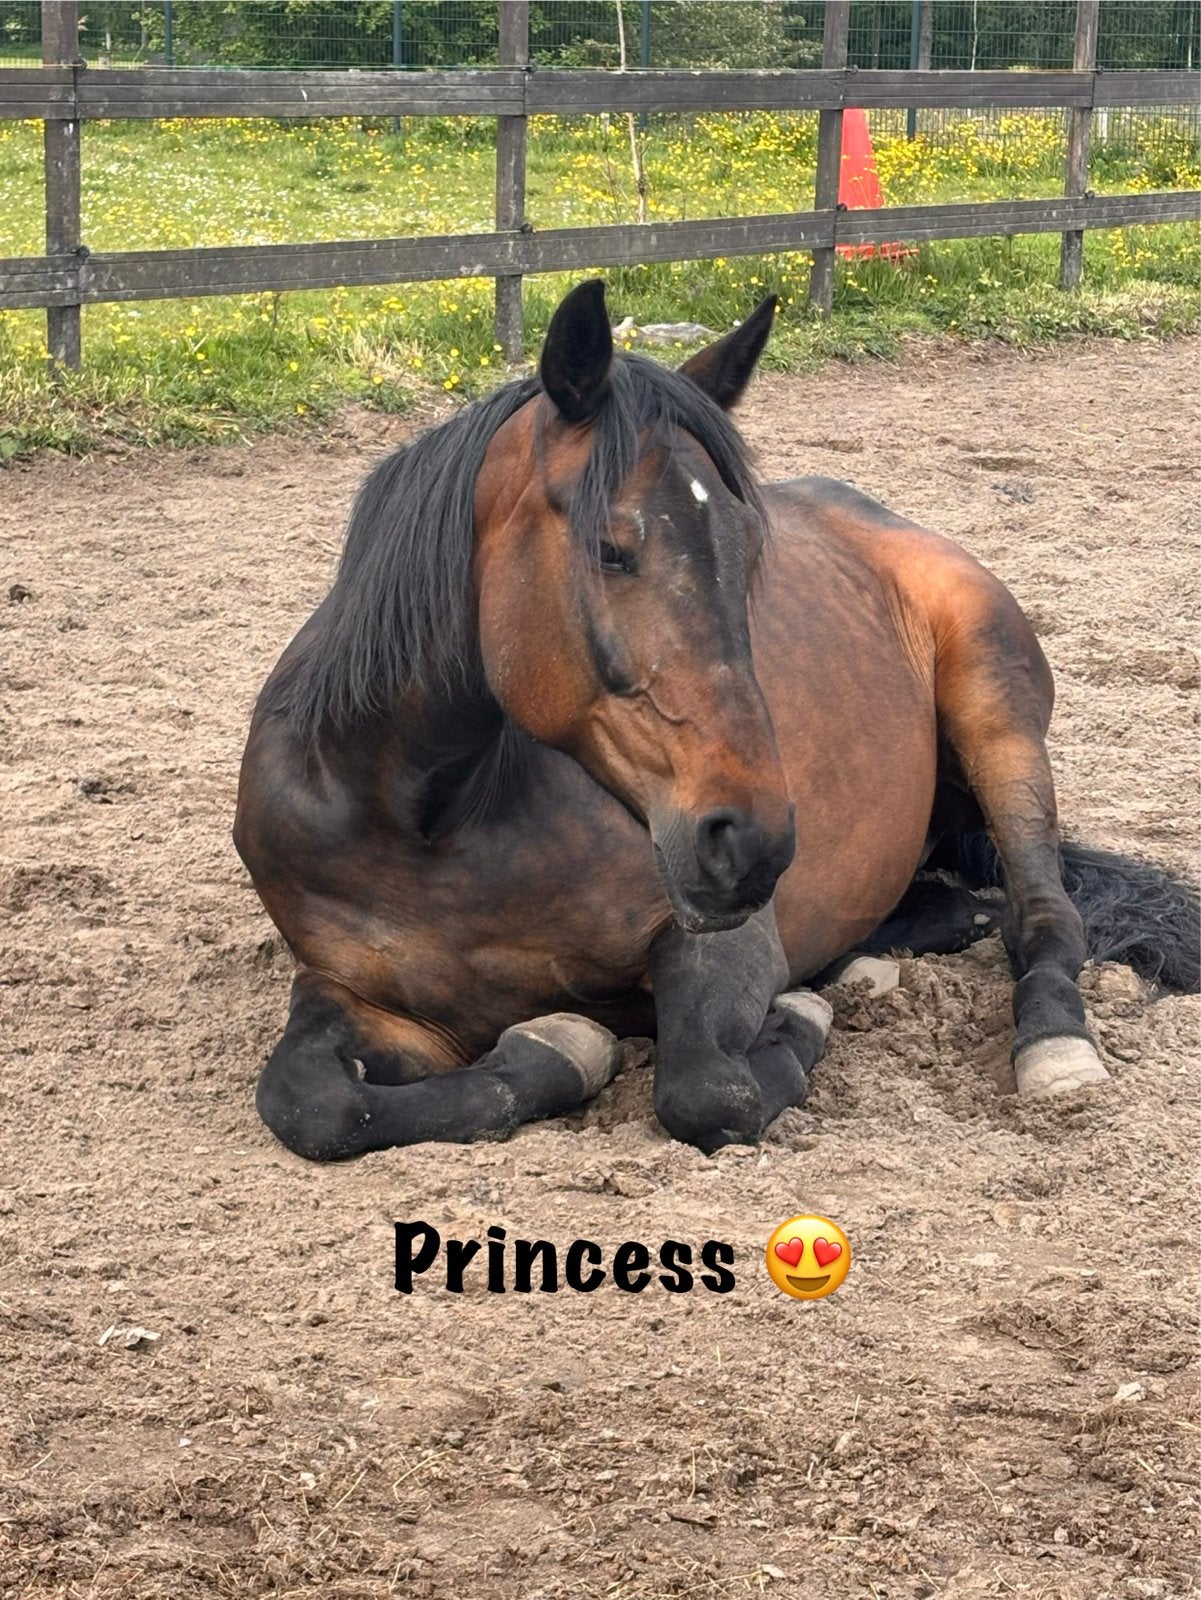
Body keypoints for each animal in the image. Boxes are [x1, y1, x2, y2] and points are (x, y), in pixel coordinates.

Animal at [234, 279, 1198, 1160]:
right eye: (610, 550)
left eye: (748, 549)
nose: (753, 842)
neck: (427, 821)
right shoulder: (360, 997)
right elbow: (311, 1103)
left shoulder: (717, 947)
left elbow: (707, 1092)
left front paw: (787, 1023)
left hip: (997, 721)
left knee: (1043, 915)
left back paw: (1051, 1043)